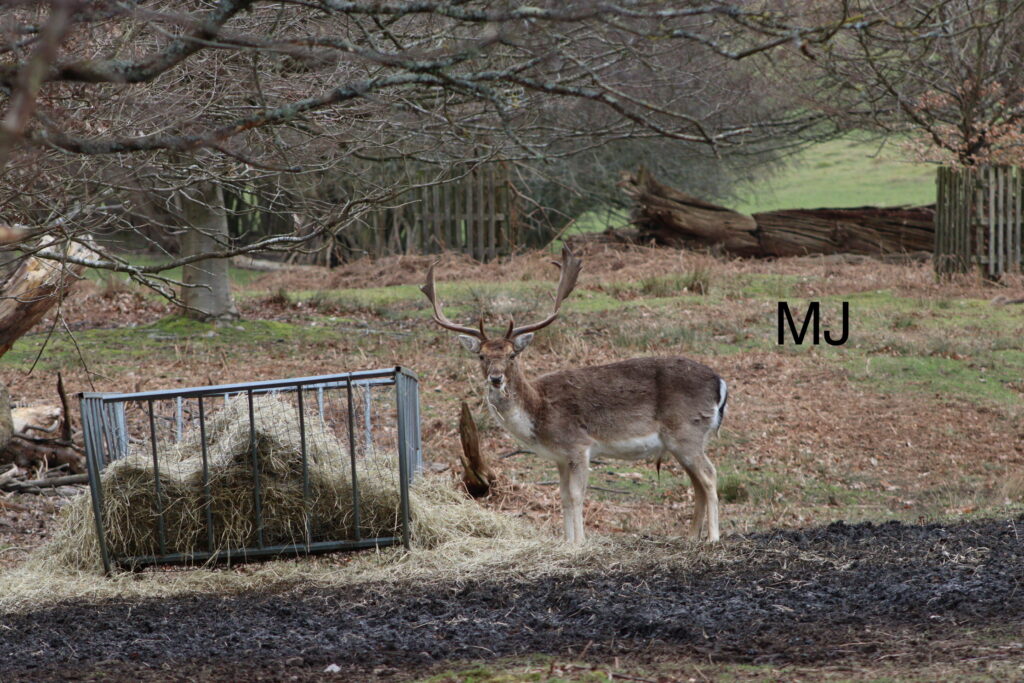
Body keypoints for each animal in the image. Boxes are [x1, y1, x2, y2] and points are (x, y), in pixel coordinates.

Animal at [421, 246, 728, 544]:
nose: (496, 378)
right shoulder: (559, 457)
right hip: (682, 441)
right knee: (697, 483)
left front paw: (580, 543)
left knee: (710, 475)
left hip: (686, 430)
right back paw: (691, 537)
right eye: (482, 356)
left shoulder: (578, 445)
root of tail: (721, 383)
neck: (538, 414)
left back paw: (713, 538)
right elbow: (564, 497)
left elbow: (578, 495)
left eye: (511, 355)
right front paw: (567, 543)